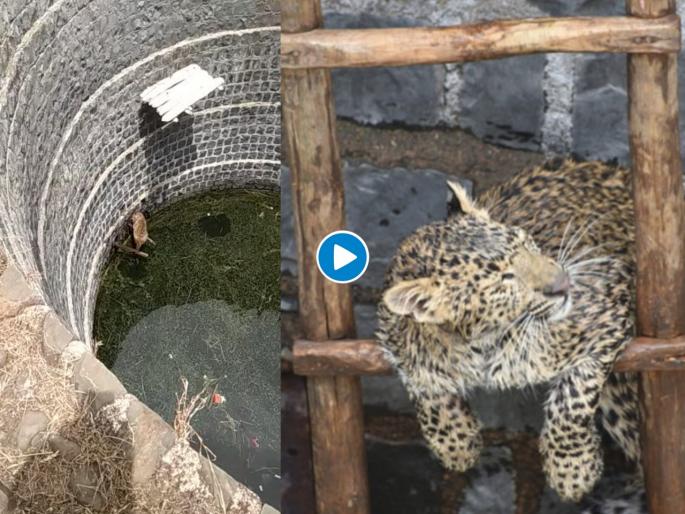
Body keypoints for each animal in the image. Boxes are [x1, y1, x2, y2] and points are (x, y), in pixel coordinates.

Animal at [376, 159, 641, 502]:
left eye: (526, 243)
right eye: (505, 280)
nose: (564, 284)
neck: (479, 343)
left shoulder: (607, 311)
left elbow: (572, 399)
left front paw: (572, 470)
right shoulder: (397, 336)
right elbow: (420, 380)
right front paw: (456, 444)